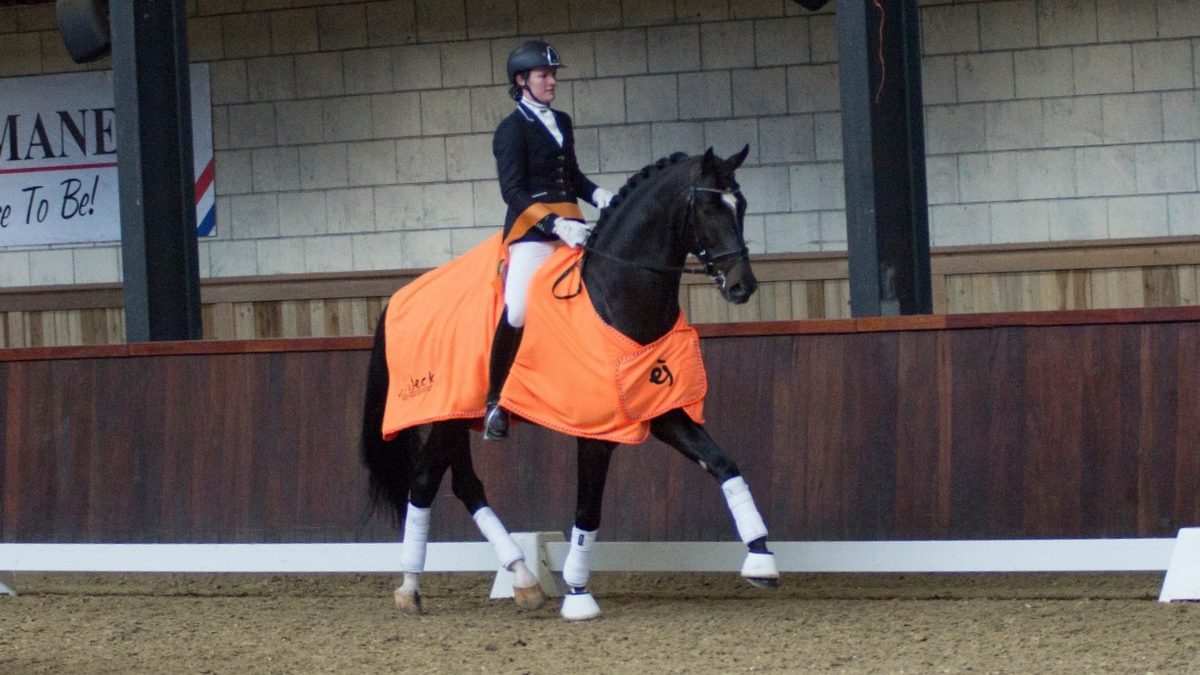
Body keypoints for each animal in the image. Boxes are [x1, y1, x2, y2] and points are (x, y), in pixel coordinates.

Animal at [360, 144, 782, 619]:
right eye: (710, 209)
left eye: (740, 205)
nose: (742, 287)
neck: (613, 294)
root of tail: (400, 296)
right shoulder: (594, 431)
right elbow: (588, 509)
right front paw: (579, 595)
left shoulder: (662, 411)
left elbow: (724, 464)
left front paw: (761, 559)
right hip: (446, 414)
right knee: (423, 482)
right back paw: (411, 587)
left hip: (457, 416)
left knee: (461, 483)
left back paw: (522, 579)